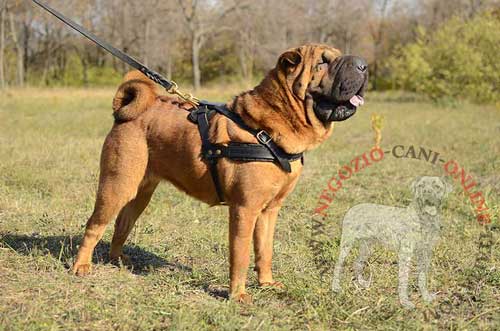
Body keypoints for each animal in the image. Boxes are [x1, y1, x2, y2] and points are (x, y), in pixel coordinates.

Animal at [72, 44, 368, 304]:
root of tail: (126, 113)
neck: (269, 128)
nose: (364, 65)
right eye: (323, 62)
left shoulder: (269, 210)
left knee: (122, 223)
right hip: (117, 185)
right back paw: (81, 266)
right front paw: (238, 295)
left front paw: (266, 283)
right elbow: (241, 255)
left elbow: (265, 250)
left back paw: (117, 259)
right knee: (94, 225)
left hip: (140, 192)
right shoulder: (244, 209)